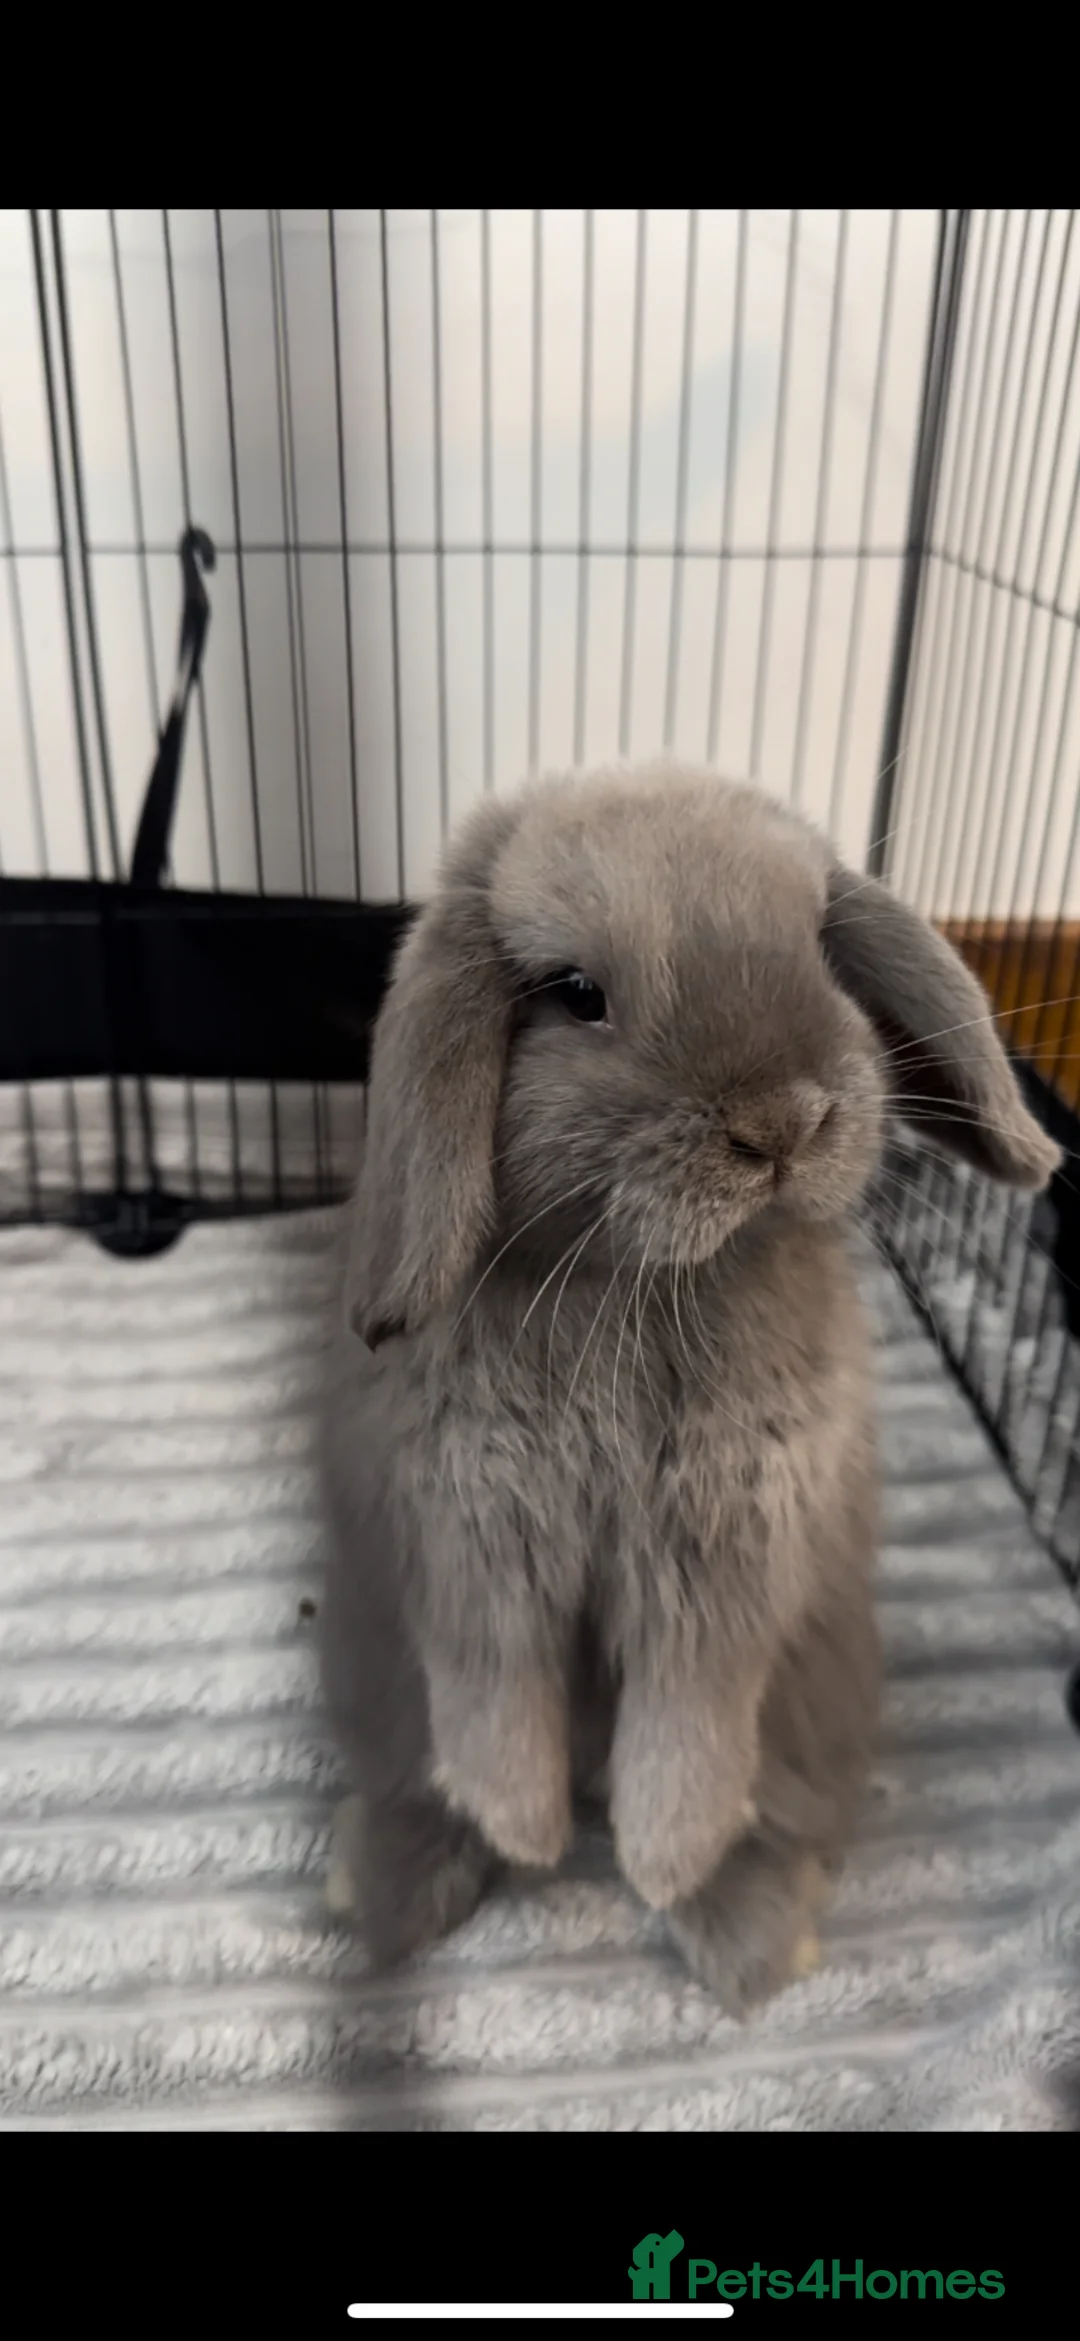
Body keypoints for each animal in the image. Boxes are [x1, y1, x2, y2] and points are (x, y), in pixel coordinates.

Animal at [319, 759, 1059, 2016]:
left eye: (820, 950)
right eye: (576, 994)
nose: (782, 1123)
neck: (640, 1284)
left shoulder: (723, 1560)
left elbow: (688, 1729)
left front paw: (663, 1862)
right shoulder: (471, 1543)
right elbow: (493, 1704)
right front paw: (527, 1834)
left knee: (780, 1811)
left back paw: (750, 1935)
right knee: (423, 1775)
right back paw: (385, 1886)